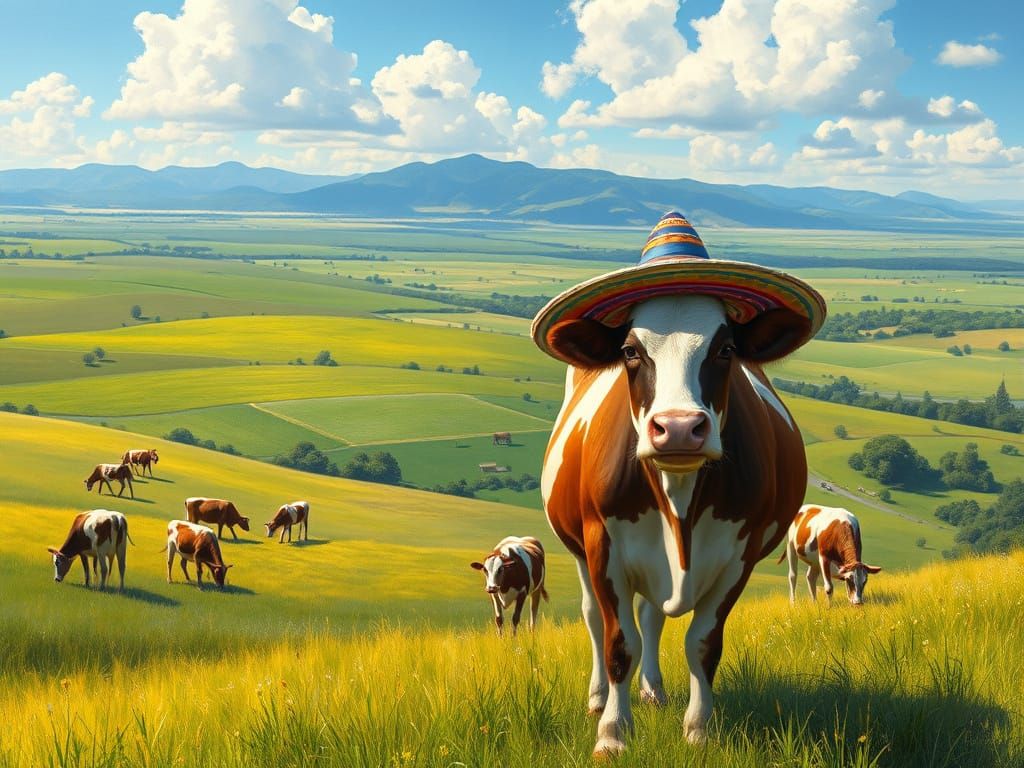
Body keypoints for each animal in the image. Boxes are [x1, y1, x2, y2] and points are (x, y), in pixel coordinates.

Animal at [533, 212, 825, 755]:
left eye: (726, 349)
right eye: (630, 351)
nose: (679, 428)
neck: (678, 500)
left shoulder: (740, 554)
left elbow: (701, 643)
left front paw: (699, 729)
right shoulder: (602, 545)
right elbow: (618, 642)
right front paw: (612, 733)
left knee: (652, 617)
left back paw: (654, 690)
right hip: (579, 549)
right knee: (594, 617)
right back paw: (598, 698)